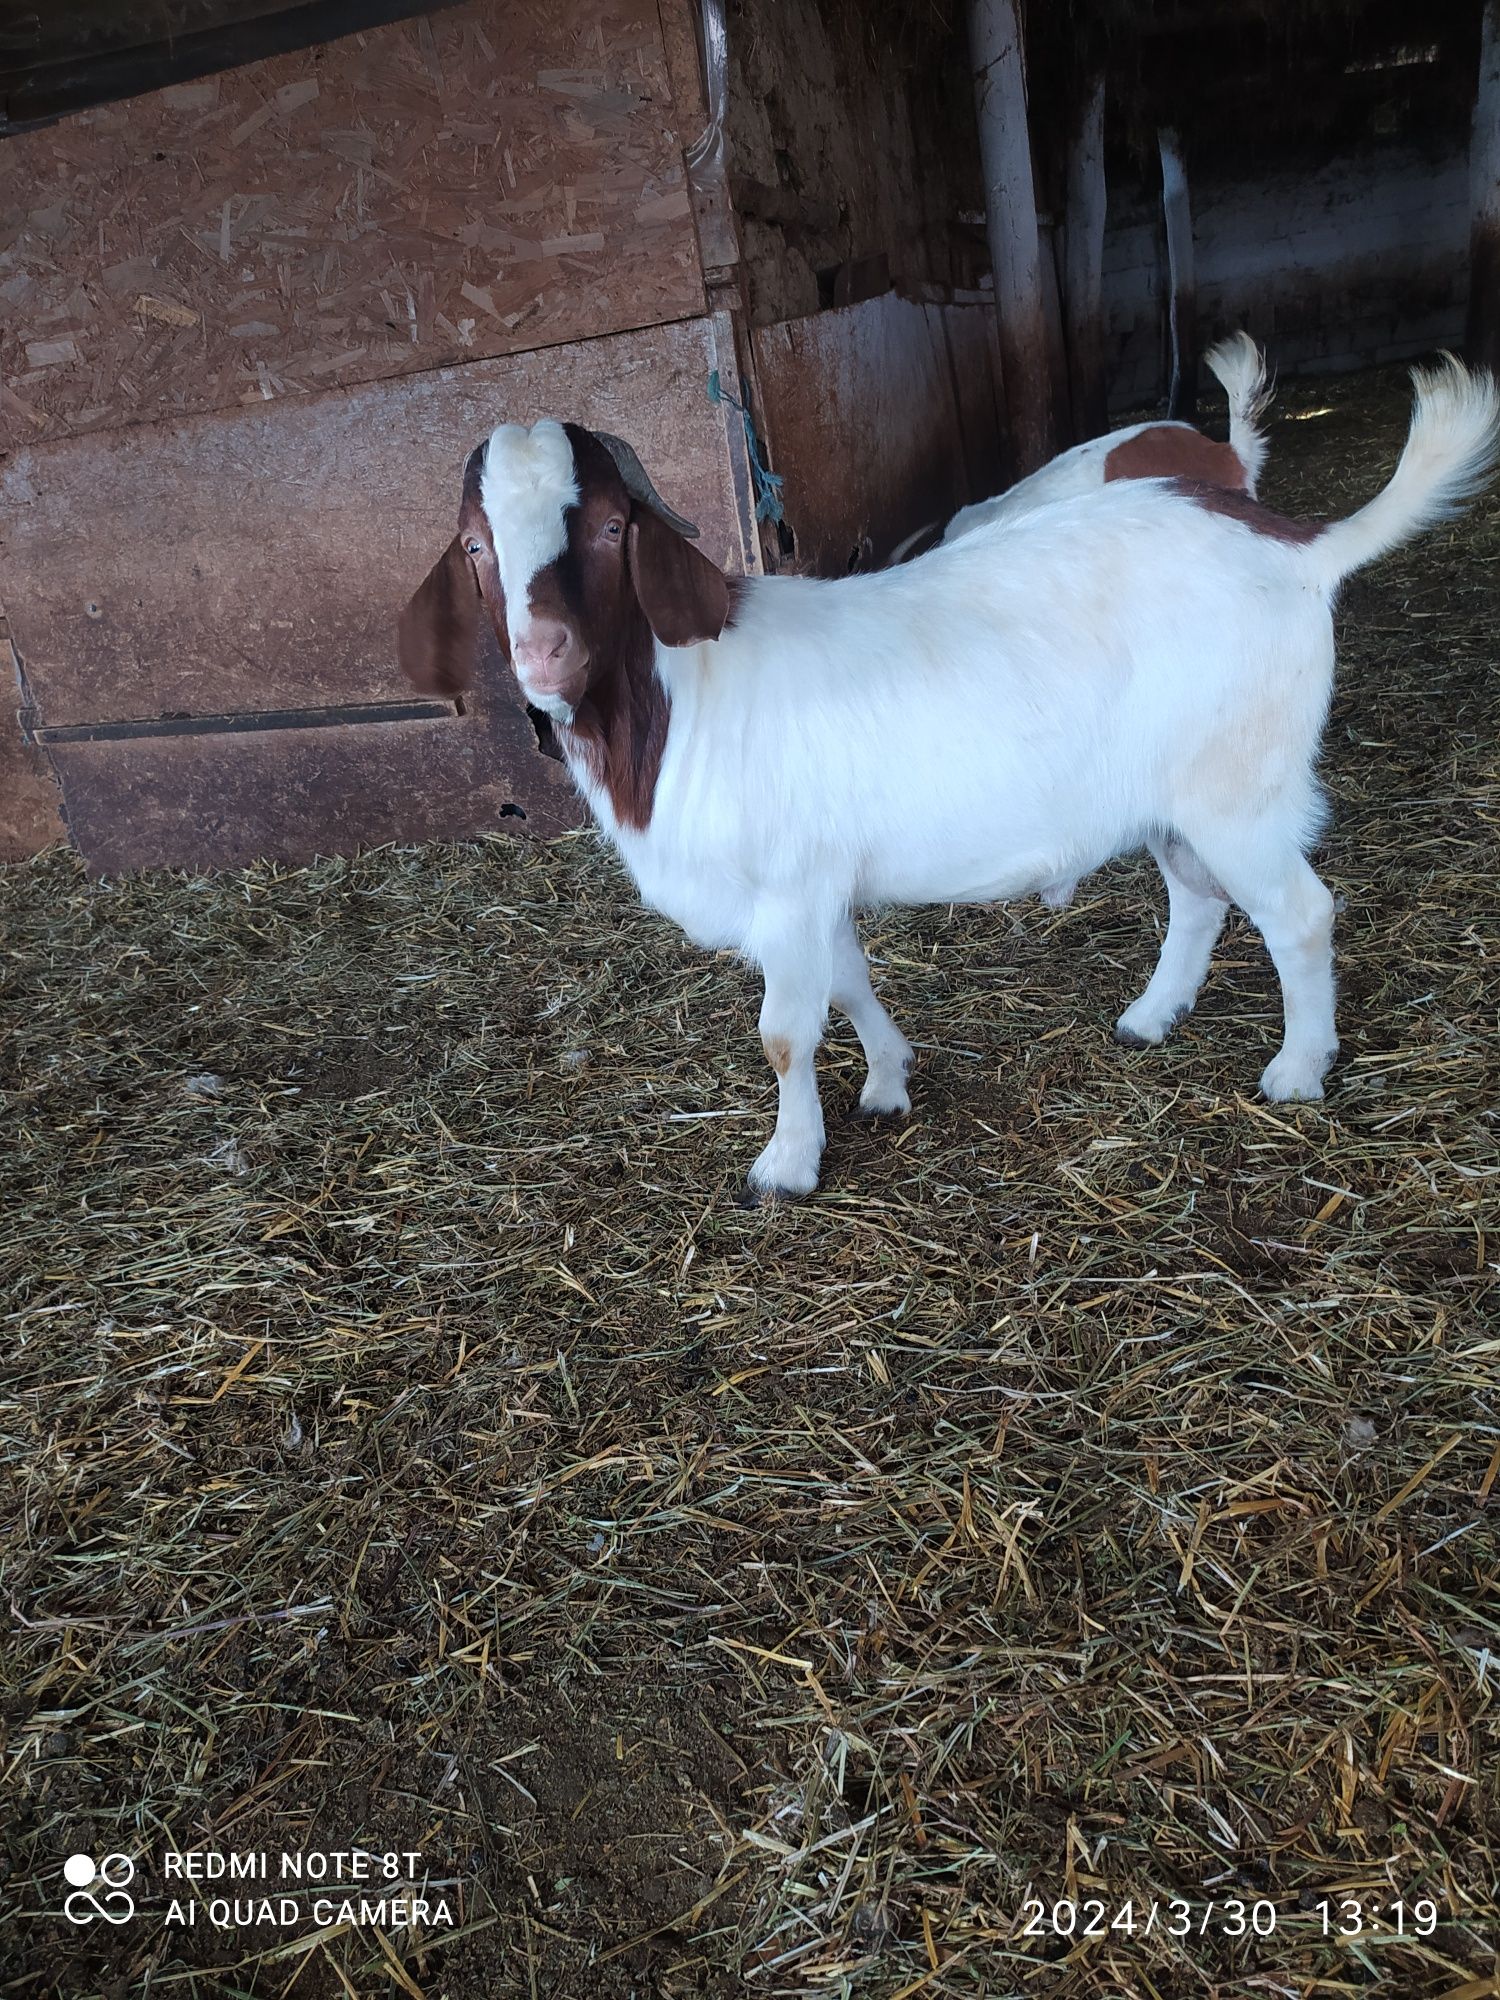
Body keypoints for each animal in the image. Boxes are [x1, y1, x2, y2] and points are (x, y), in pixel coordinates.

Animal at [402, 356, 1500, 1200]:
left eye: (608, 527)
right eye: (475, 546)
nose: (542, 656)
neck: (684, 702)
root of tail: (1302, 547)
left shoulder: (788, 888)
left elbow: (784, 1033)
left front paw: (786, 1165)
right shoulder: (818, 887)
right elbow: (851, 983)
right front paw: (889, 1081)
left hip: (1242, 785)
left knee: (1299, 913)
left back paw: (1297, 1069)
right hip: (1172, 797)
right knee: (1198, 898)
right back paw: (1150, 1019)